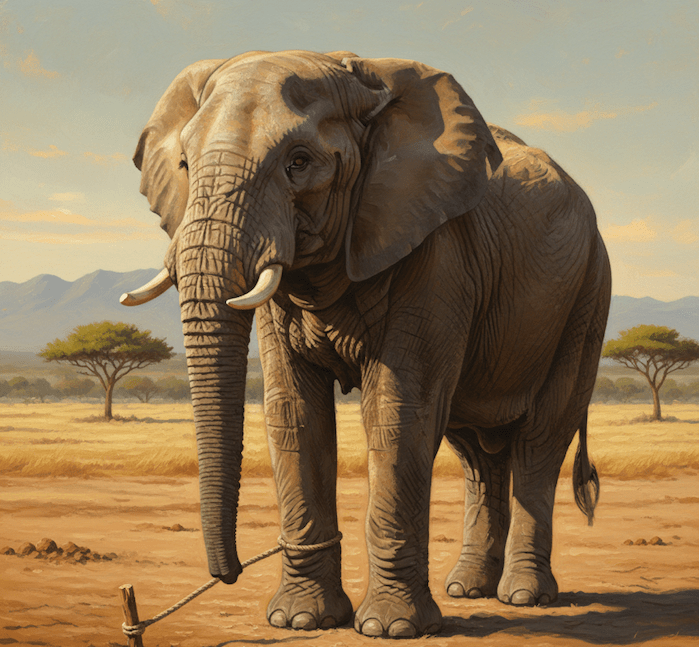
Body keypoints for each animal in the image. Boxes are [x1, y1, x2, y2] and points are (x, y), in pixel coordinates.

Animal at [122, 49, 611, 638]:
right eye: (185, 165)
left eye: (299, 162)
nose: (230, 572)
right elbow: (294, 412)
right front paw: (300, 620)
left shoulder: (436, 250)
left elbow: (398, 411)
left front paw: (391, 629)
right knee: (476, 452)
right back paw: (467, 588)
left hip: (587, 294)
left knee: (540, 438)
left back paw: (524, 597)